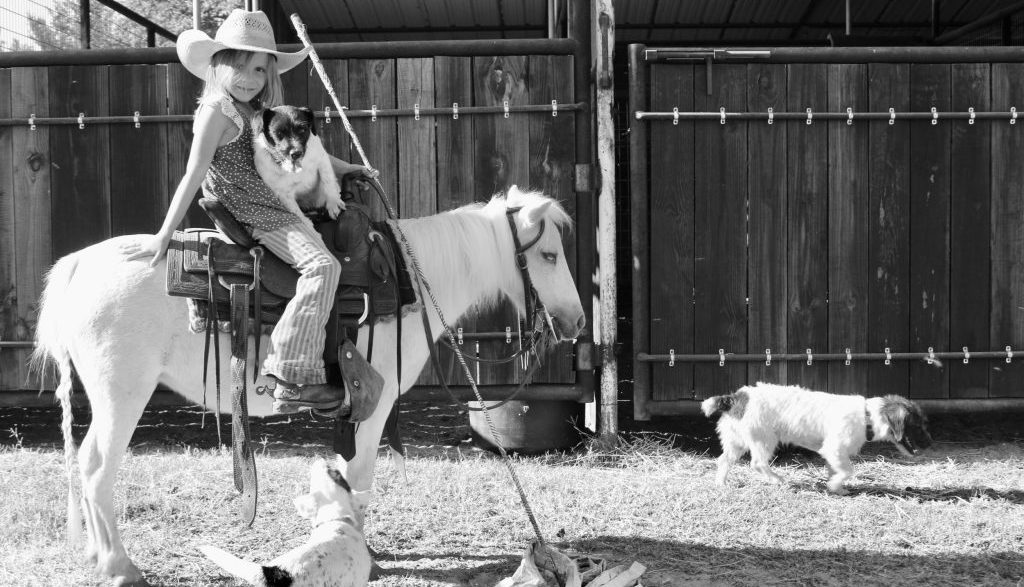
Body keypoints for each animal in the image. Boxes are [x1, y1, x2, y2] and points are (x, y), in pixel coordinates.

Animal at [30, 186, 585, 586]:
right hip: (121, 395)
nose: (578, 321)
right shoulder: (373, 403)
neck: (410, 285)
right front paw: (363, 548)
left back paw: (99, 556)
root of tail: (78, 265)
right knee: (97, 470)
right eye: (550, 255)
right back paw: (119, 567)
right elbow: (359, 473)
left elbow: (342, 470)